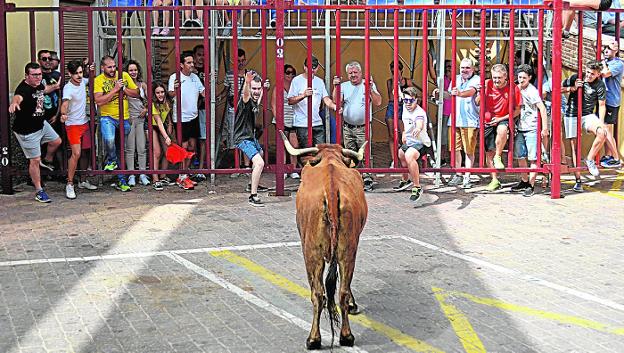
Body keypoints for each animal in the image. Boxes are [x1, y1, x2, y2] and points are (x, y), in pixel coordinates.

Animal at [280, 131, 368, 348]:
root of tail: (331, 187)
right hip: (347, 250)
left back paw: (313, 339)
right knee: (342, 292)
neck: (329, 158)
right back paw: (346, 336)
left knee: (318, 294)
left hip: (312, 253)